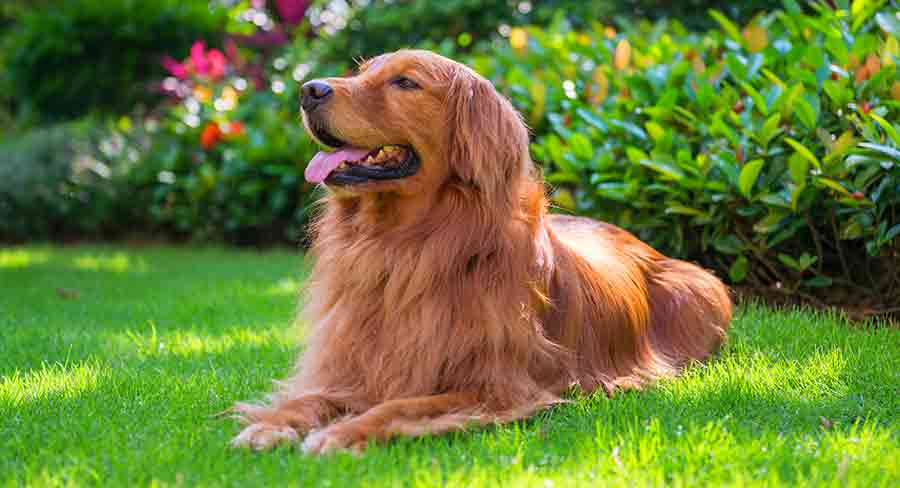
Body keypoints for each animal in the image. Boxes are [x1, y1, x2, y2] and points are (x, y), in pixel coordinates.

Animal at [229, 49, 728, 454]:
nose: (308, 90)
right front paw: (272, 424)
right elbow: (310, 396)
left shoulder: (493, 386)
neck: (402, 247)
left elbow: (396, 407)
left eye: (405, 82)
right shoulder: (355, 364)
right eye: (362, 71)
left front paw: (343, 433)